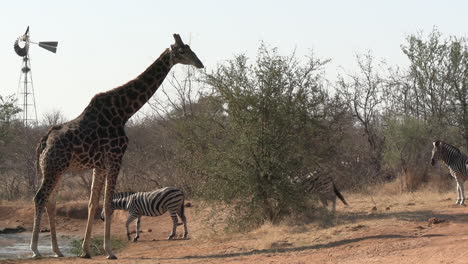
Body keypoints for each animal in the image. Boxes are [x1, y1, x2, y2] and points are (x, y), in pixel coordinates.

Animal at [29, 33, 203, 260]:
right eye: (182, 51)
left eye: (191, 49)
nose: (200, 63)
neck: (123, 111)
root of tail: (44, 141)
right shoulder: (115, 157)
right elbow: (108, 204)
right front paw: (110, 251)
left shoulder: (100, 164)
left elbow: (93, 203)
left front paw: (86, 250)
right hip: (53, 167)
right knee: (39, 198)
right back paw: (35, 250)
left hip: (53, 169)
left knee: (50, 201)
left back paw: (57, 251)